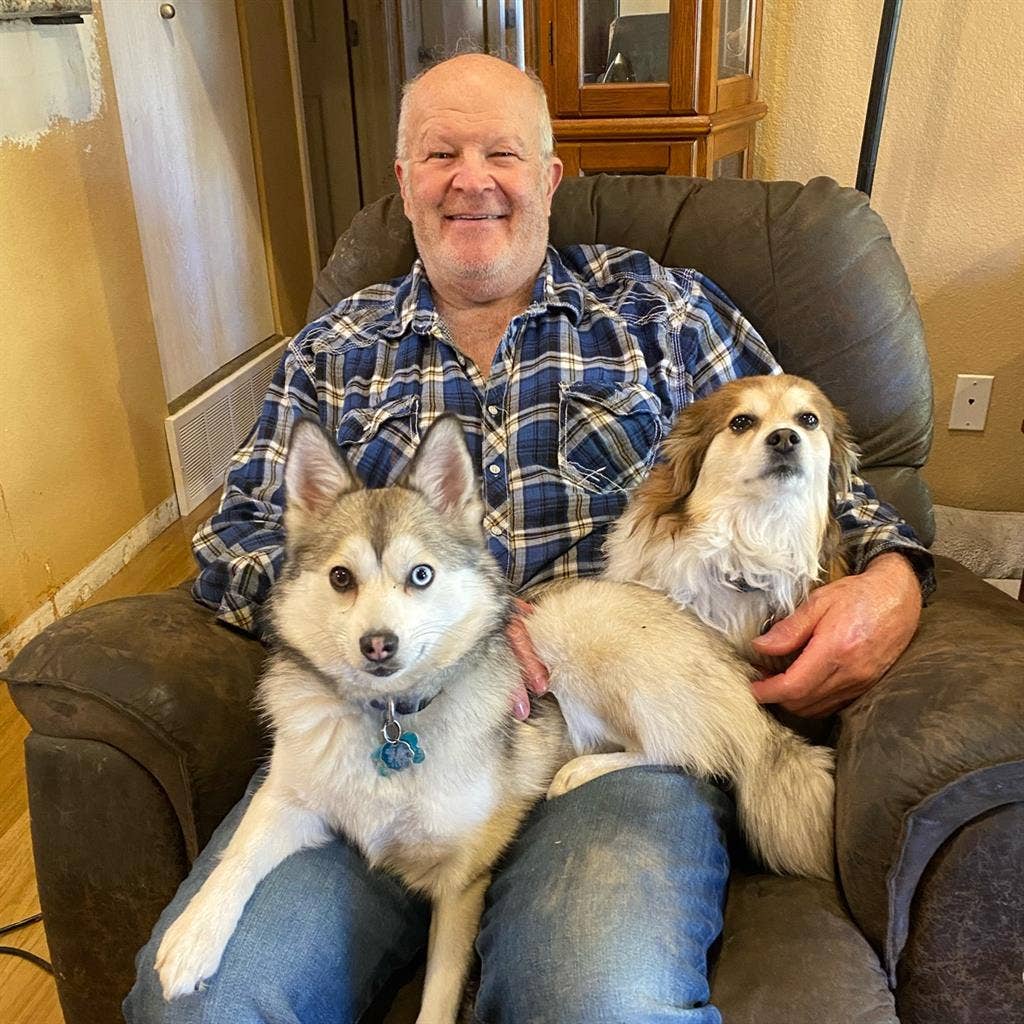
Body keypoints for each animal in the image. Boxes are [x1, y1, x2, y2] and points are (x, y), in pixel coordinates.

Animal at [155, 413, 569, 1015]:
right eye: (340, 578)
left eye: (420, 575)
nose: (378, 644)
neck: (391, 718)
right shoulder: (286, 798)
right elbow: (238, 855)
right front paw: (193, 936)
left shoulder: (462, 880)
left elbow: (440, 993)